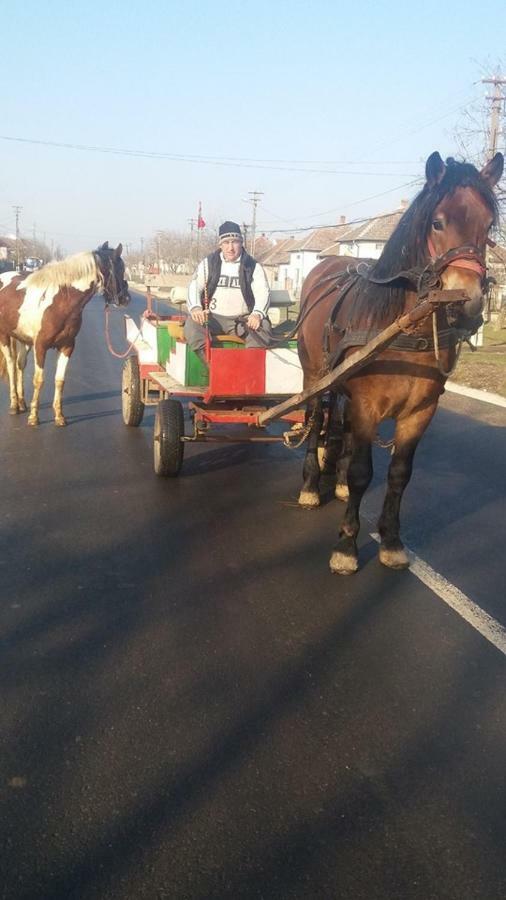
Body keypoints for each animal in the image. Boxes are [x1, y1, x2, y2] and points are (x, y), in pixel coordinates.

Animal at [0, 243, 130, 426]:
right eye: (120, 269)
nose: (126, 299)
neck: (60, 301)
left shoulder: (67, 346)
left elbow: (59, 380)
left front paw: (59, 416)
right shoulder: (40, 346)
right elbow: (39, 380)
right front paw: (34, 417)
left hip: (23, 340)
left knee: (20, 365)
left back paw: (21, 403)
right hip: (4, 336)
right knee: (11, 365)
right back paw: (13, 405)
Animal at [298, 153, 504, 576]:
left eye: (488, 225)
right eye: (438, 221)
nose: (468, 303)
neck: (403, 325)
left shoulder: (420, 412)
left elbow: (399, 474)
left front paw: (391, 540)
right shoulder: (367, 407)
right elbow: (363, 473)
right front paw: (346, 545)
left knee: (336, 425)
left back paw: (334, 477)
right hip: (314, 375)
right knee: (315, 419)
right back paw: (311, 484)